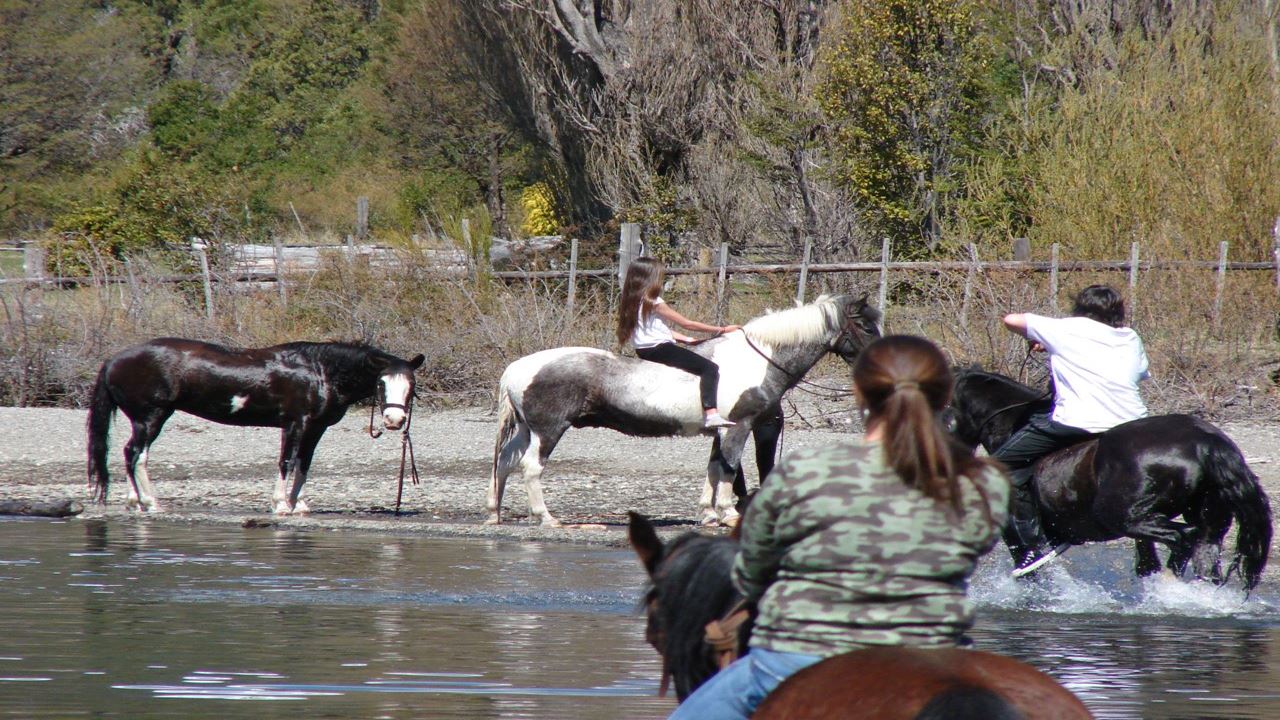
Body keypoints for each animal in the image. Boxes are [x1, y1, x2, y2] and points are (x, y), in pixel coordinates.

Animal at [86, 338, 425, 515]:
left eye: (411, 385)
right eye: (381, 384)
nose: (394, 421)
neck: (318, 371)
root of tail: (113, 360)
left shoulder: (315, 428)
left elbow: (304, 464)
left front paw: (298, 504)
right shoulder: (295, 423)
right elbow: (287, 461)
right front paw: (281, 504)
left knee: (129, 454)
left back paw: (135, 501)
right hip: (151, 417)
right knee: (136, 454)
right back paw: (150, 501)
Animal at [488, 294, 881, 527]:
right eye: (863, 324)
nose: (878, 361)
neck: (757, 359)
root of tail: (516, 368)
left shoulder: (722, 430)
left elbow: (714, 467)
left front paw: (707, 513)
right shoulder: (740, 426)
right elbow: (729, 467)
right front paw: (728, 514)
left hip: (527, 430)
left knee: (505, 463)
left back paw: (494, 512)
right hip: (548, 430)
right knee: (530, 468)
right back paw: (546, 517)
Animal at [948, 368, 1272, 590]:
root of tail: (1206, 442)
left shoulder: (1014, 532)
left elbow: (1030, 565)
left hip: (1123, 517)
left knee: (1183, 539)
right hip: (1201, 518)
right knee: (1201, 555)